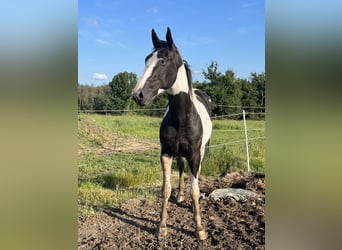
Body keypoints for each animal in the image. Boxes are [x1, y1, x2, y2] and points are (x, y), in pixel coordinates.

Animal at [132, 26, 212, 240]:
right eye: (146, 59)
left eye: (163, 60)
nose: (138, 95)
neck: (182, 118)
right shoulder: (166, 154)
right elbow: (166, 189)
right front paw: (162, 226)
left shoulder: (194, 155)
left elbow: (195, 190)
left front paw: (199, 229)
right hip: (180, 154)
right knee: (182, 170)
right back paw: (180, 195)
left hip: (201, 151)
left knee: (195, 175)